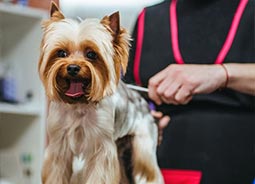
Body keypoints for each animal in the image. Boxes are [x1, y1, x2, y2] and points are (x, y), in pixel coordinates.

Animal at [38, 2, 164, 184]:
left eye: (91, 54)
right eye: (61, 53)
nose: (73, 68)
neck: (80, 103)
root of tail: (142, 101)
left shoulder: (102, 149)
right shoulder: (59, 146)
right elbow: (57, 172)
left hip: (143, 145)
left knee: (148, 171)